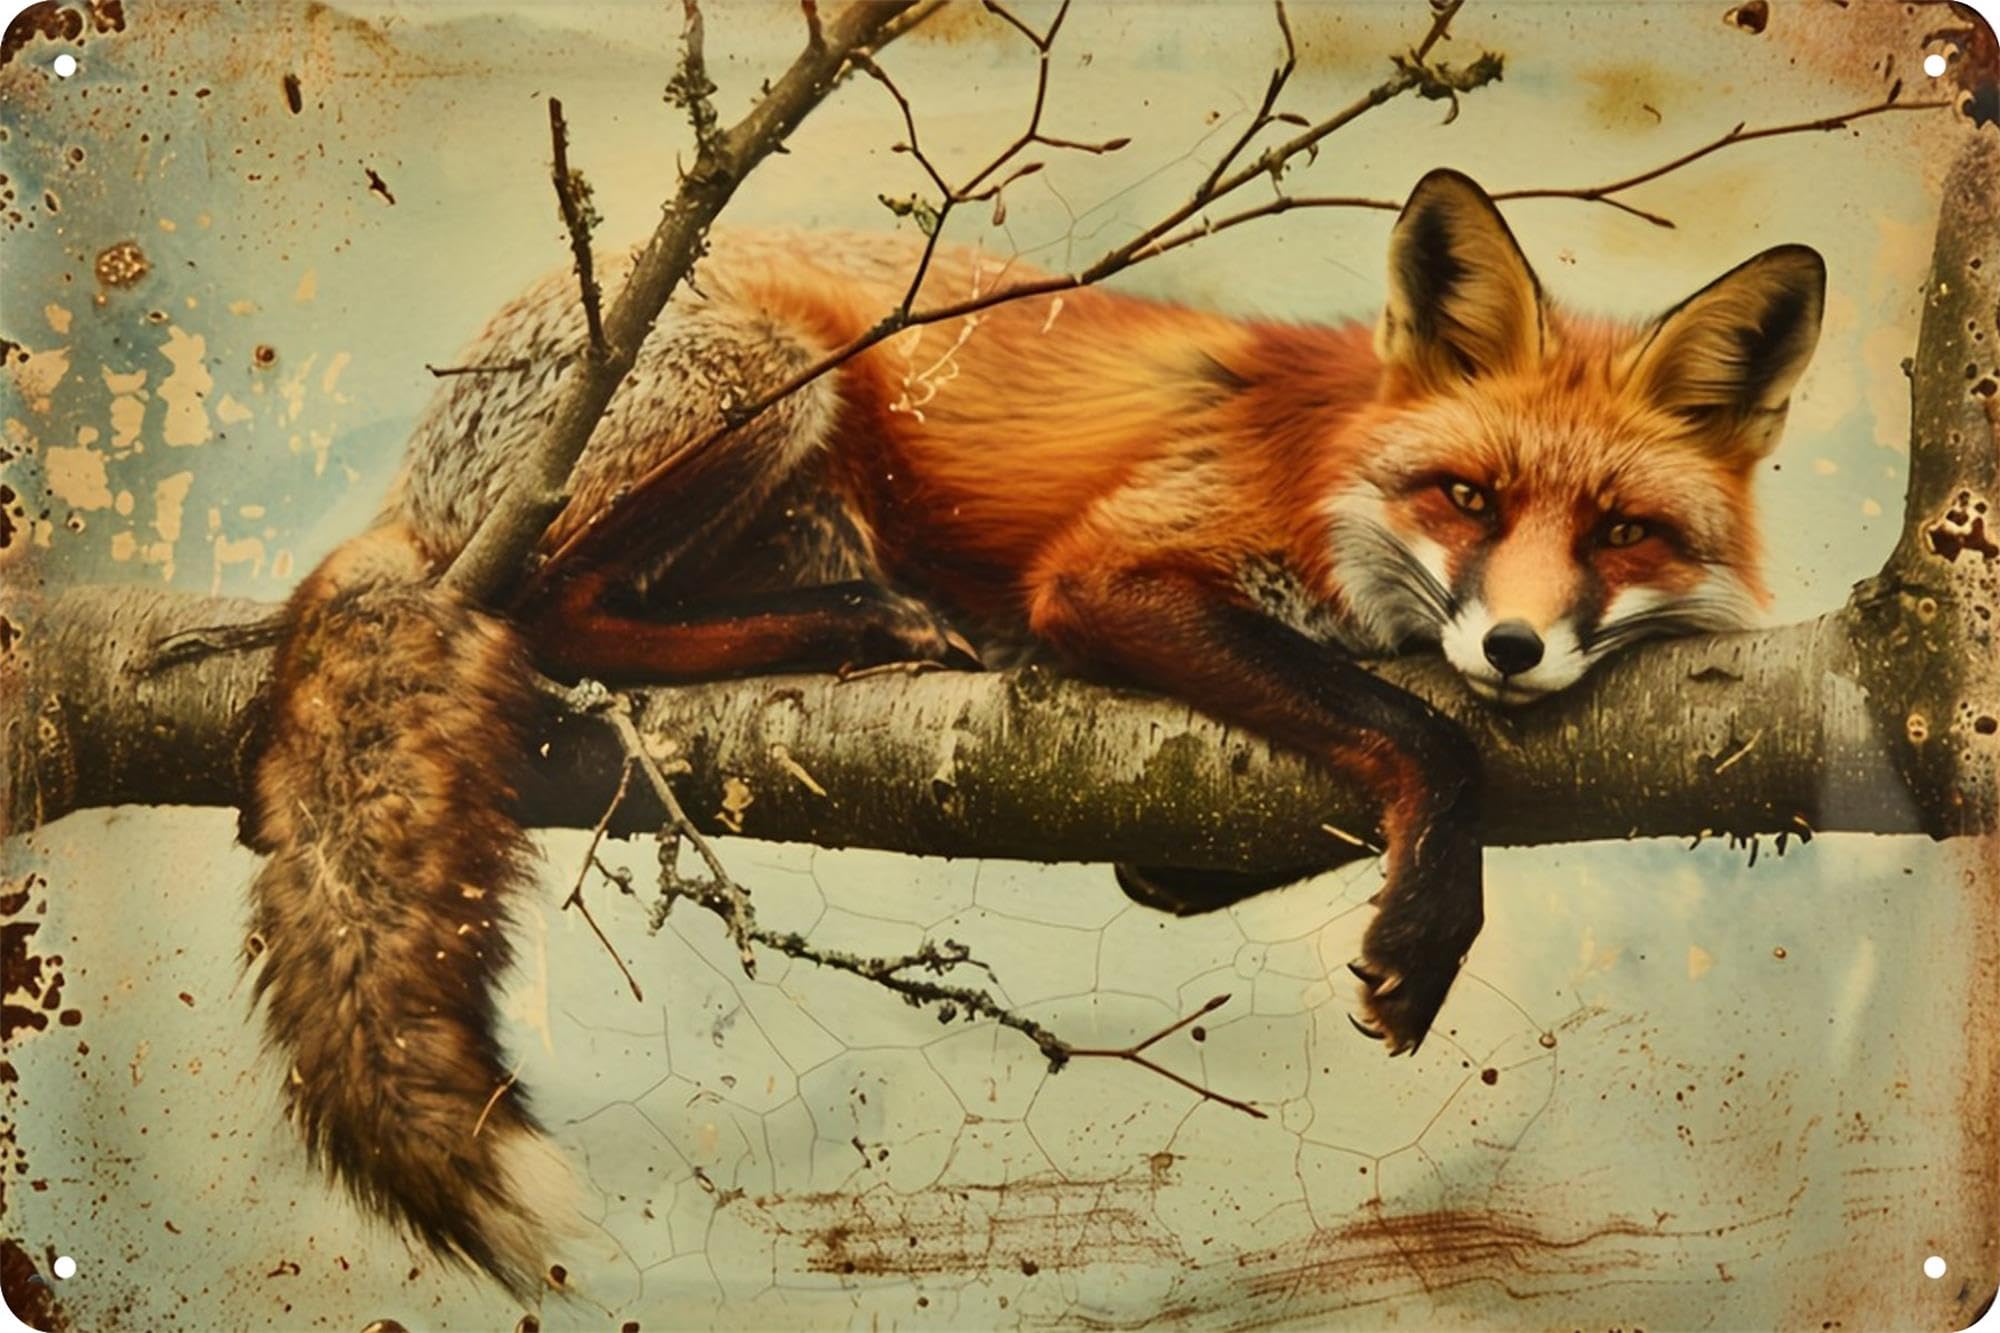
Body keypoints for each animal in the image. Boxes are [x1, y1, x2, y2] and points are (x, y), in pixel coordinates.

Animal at [238, 168, 1824, 1295]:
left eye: (1620, 532)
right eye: (1470, 501)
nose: (1510, 648)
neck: (1335, 481)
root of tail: (423, 486)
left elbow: (1209, 850)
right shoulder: (1110, 572)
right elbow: (1431, 739)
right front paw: (1432, 911)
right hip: (768, 384)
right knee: (552, 613)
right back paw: (853, 623)